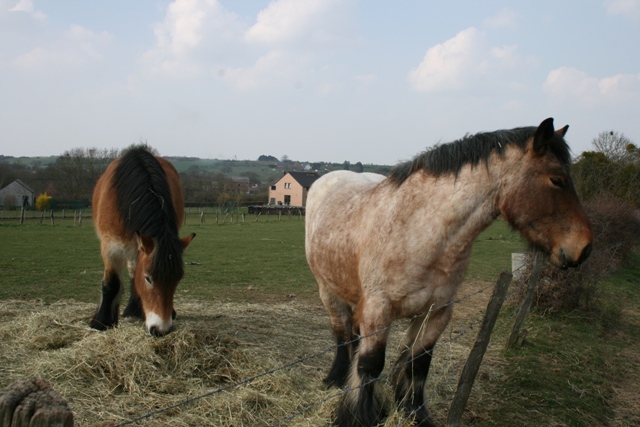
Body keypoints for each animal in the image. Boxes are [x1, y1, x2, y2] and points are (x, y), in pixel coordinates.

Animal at [90, 150, 194, 338]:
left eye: (178, 279)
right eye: (148, 279)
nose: (161, 329)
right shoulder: (110, 248)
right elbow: (111, 284)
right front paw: (101, 322)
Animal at [306, 118, 596, 427]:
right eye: (557, 180)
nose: (585, 248)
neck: (420, 230)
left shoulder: (437, 312)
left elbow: (418, 364)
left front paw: (414, 413)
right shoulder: (378, 310)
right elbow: (370, 365)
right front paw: (358, 417)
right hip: (328, 291)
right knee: (342, 334)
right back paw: (336, 378)